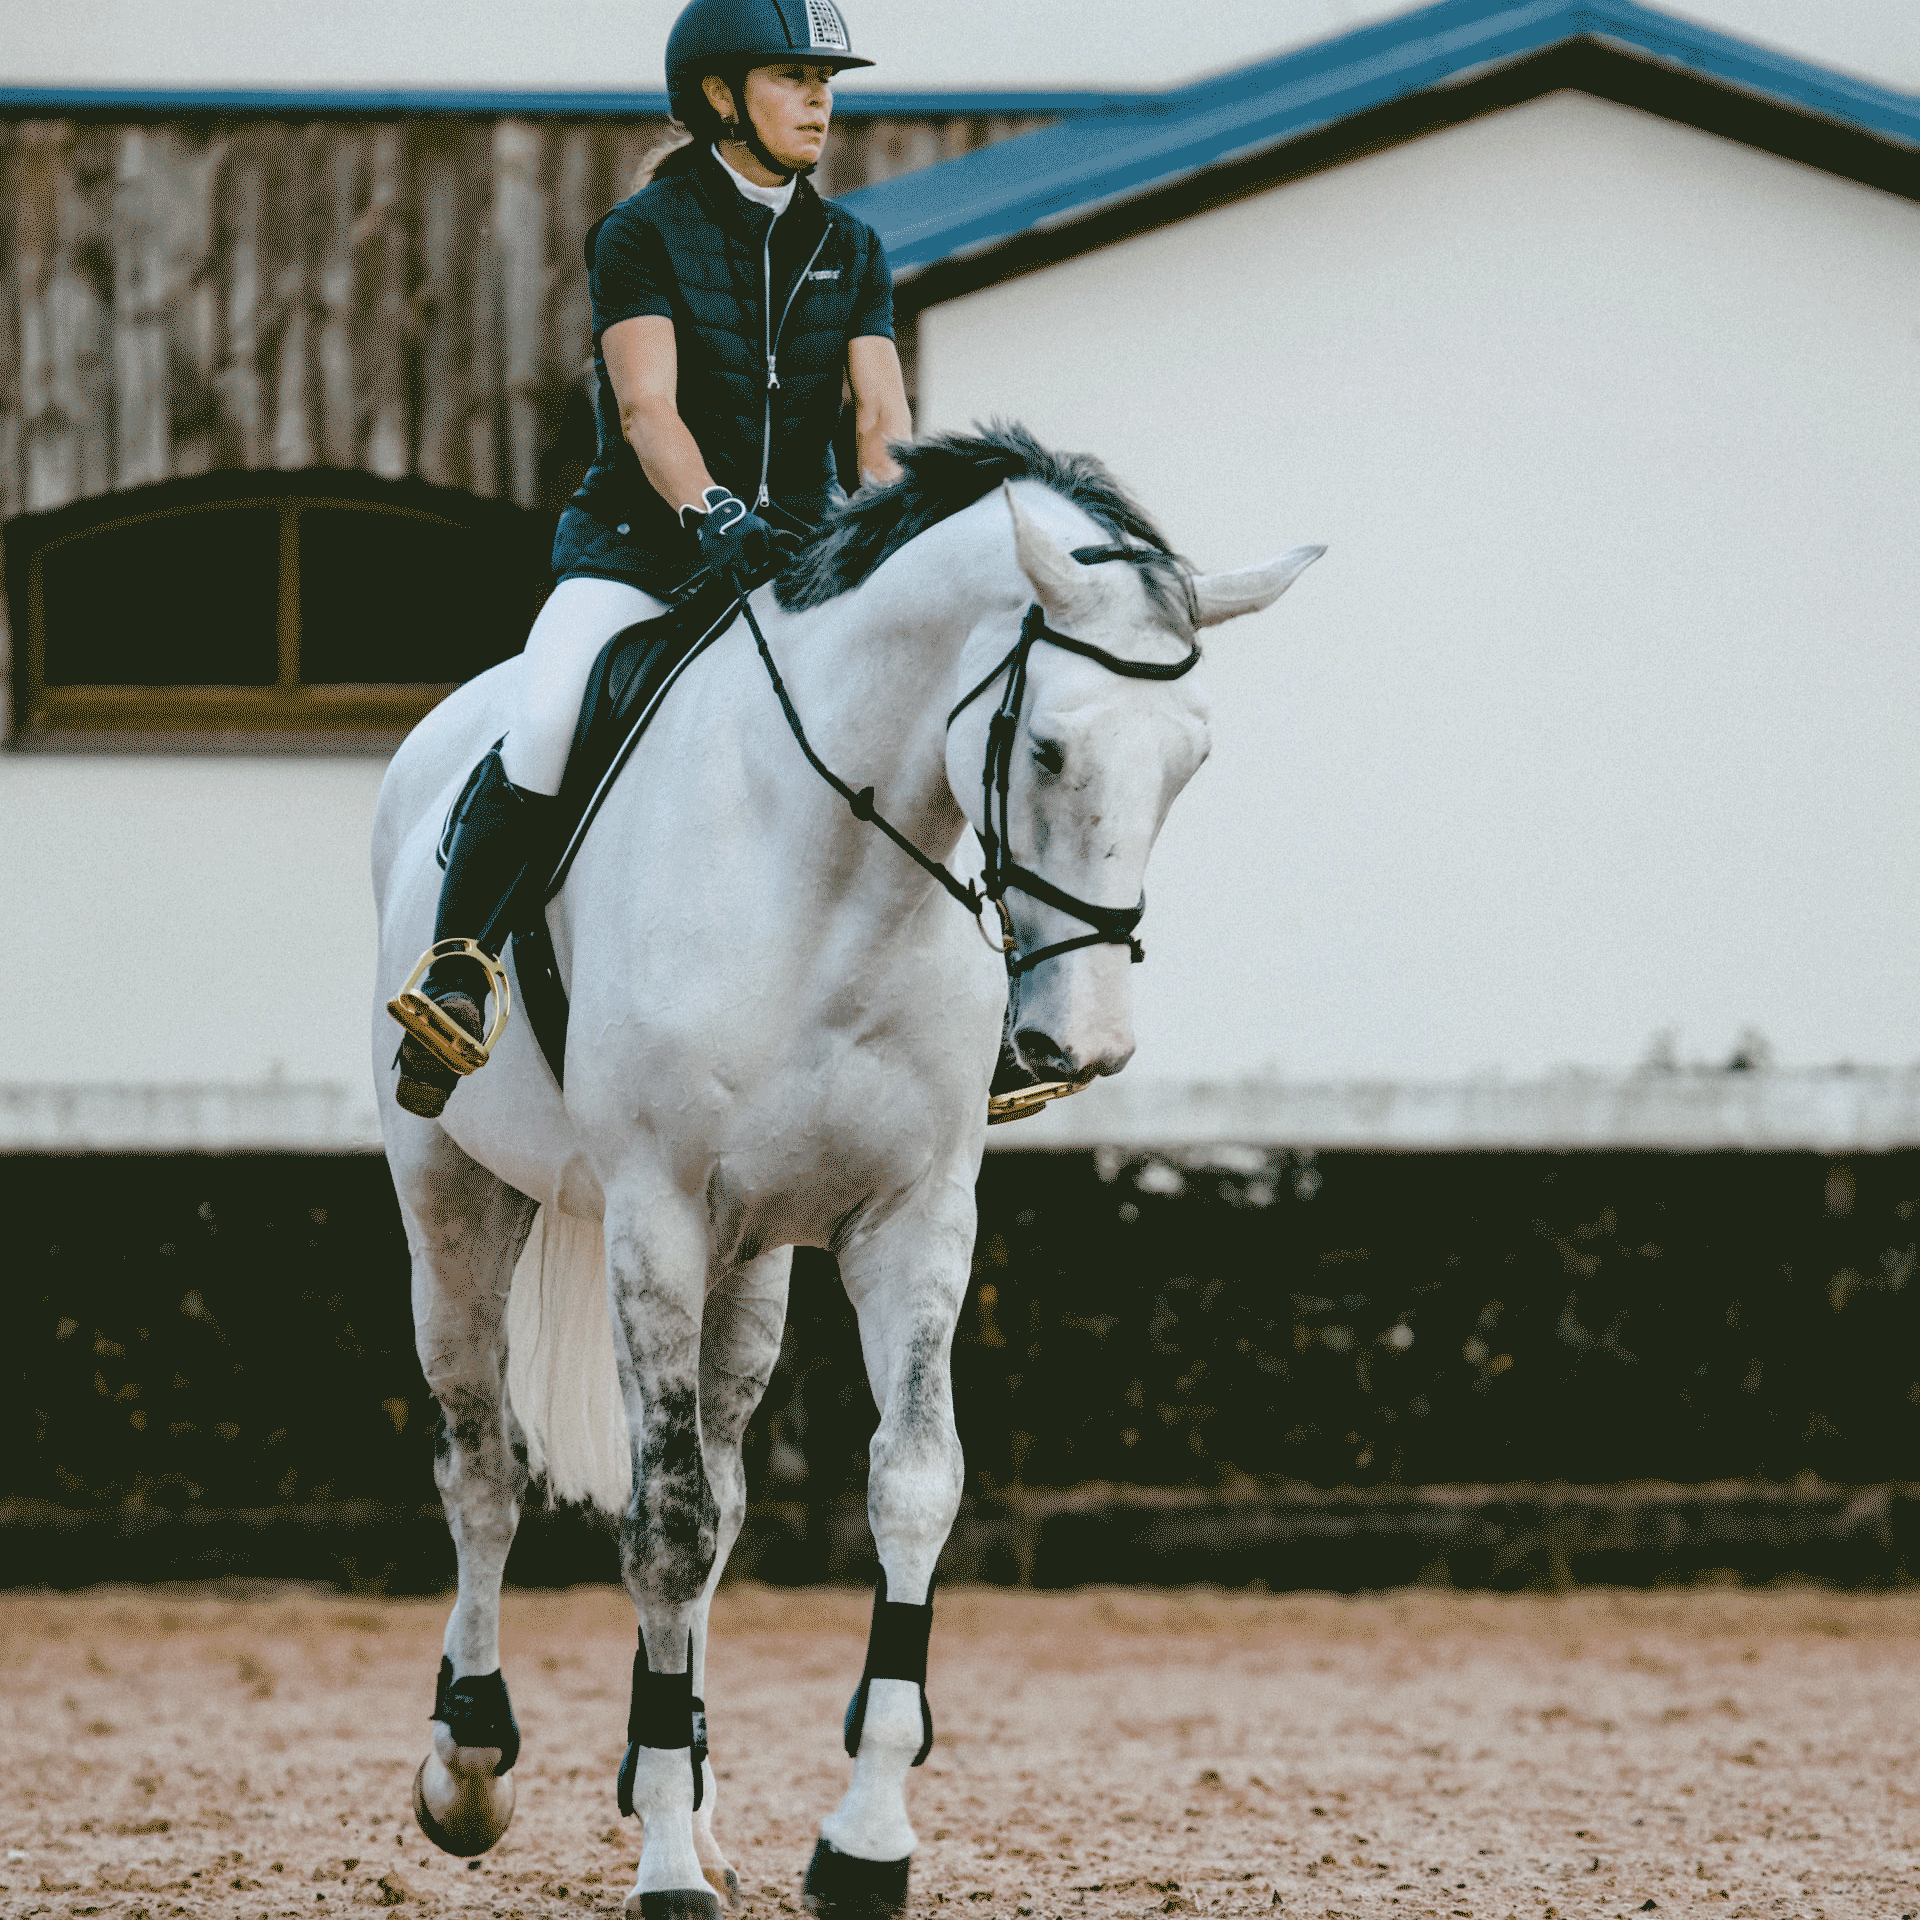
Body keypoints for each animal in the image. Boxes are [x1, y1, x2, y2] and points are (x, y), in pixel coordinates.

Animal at [366, 424, 1320, 1920]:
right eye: (1046, 744)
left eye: (1192, 760)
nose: (1089, 1044)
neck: (834, 872)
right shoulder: (653, 1213)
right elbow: (665, 1519)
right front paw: (661, 1870)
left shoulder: (912, 1222)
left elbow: (907, 1485)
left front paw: (861, 1841)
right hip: (455, 1200)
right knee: (482, 1466)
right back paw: (471, 1765)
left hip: (750, 1266)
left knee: (715, 1475)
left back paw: (689, 1795)